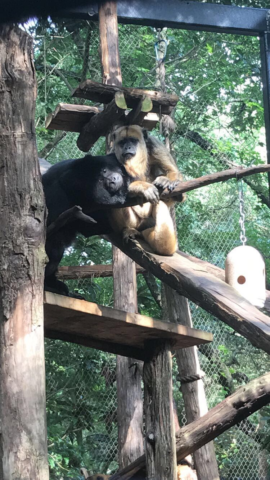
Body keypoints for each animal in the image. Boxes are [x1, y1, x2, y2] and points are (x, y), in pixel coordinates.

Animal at [109, 125, 184, 256]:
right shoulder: (111, 154)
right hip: (136, 221)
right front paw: (143, 187)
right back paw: (130, 229)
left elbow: (172, 170)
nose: (127, 147)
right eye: (122, 142)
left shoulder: (155, 145)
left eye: (133, 140)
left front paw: (169, 181)